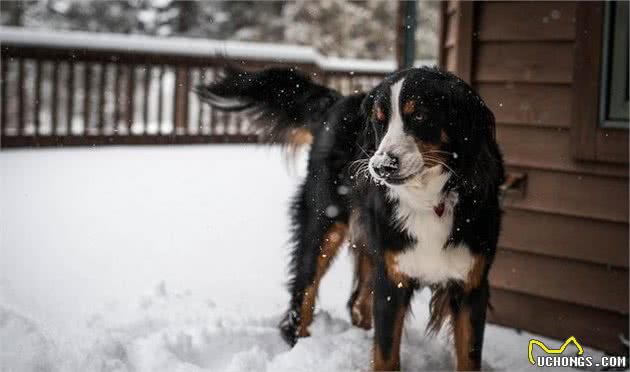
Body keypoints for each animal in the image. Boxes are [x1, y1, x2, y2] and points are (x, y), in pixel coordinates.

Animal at [200, 65, 506, 370]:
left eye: (419, 115)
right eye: (380, 121)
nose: (381, 166)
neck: (430, 200)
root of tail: (337, 101)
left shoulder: (472, 284)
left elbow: (468, 356)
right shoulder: (391, 279)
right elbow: (386, 354)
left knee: (357, 302)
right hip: (323, 224)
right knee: (303, 294)